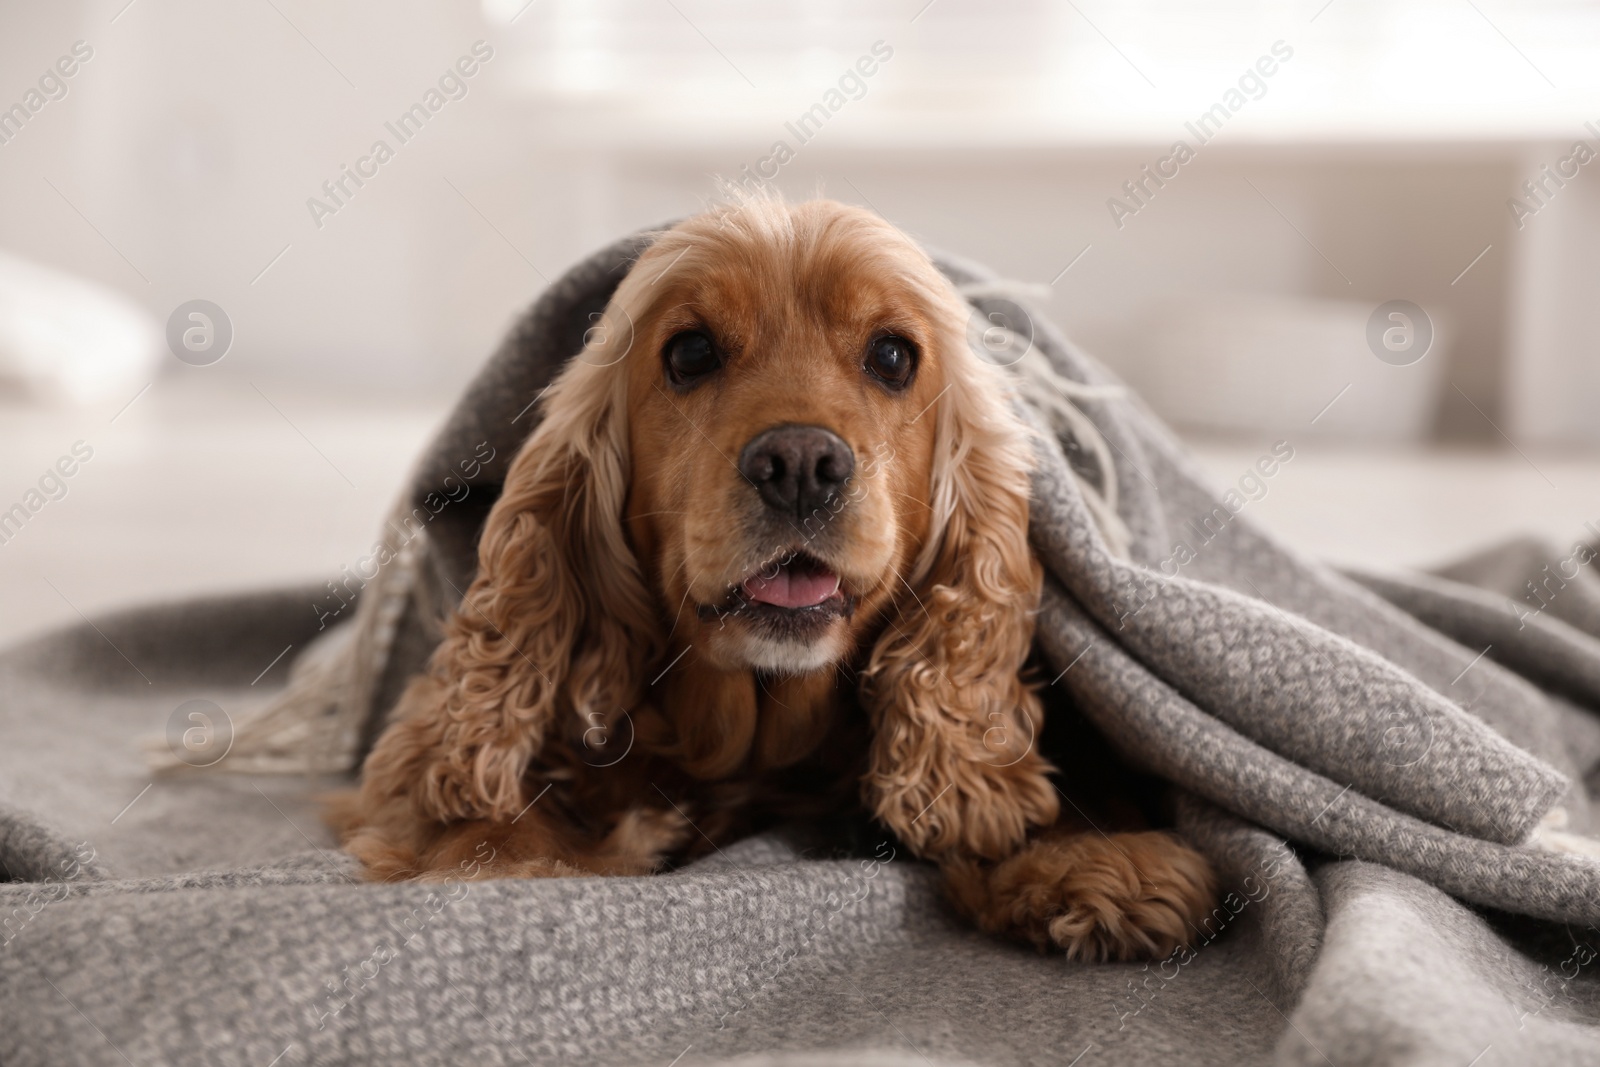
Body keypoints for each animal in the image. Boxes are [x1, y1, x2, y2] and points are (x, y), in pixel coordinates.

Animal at [337, 195, 1209, 966]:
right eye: (690, 353)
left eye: (892, 355)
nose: (799, 464)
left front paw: (1093, 859)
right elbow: (466, 810)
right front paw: (513, 863)